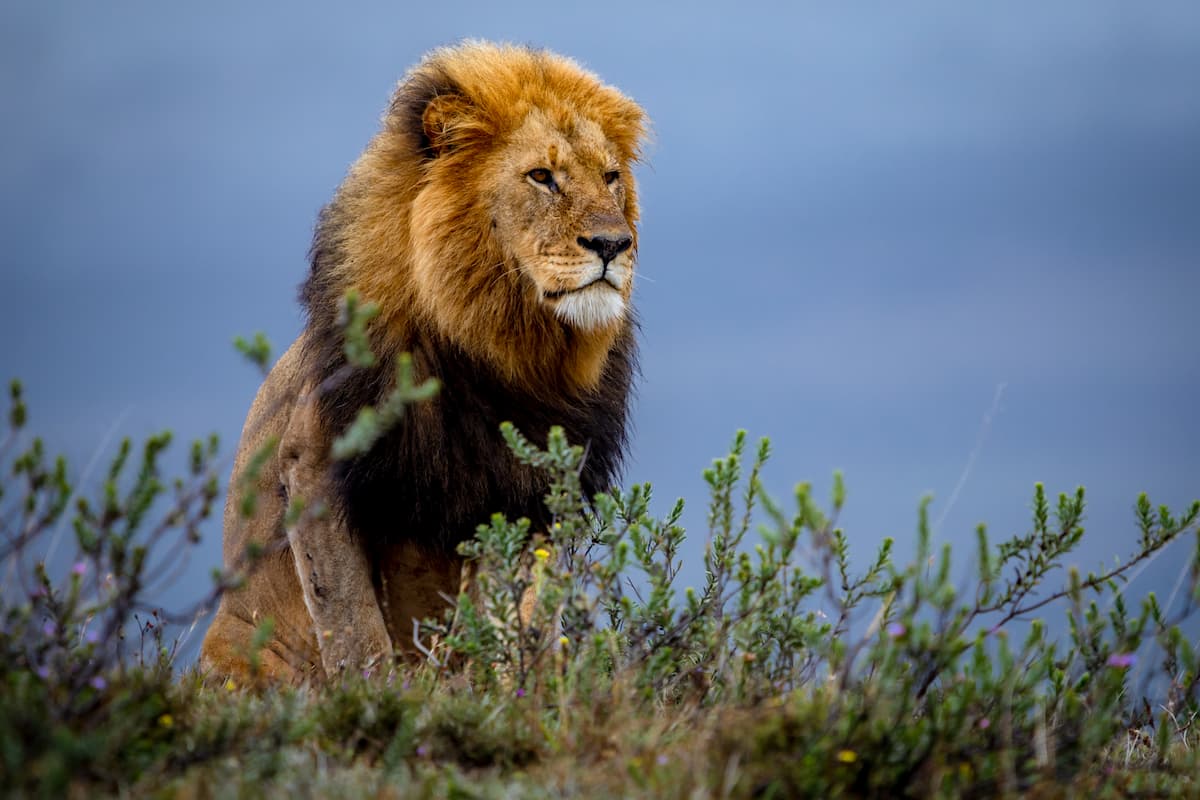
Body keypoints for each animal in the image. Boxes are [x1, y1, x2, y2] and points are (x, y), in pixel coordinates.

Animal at [199, 41, 648, 684]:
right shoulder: (312, 460)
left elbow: (511, 621)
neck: (504, 348)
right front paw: (376, 698)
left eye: (610, 177)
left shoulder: (526, 493)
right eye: (542, 176)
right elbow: (354, 628)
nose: (614, 244)